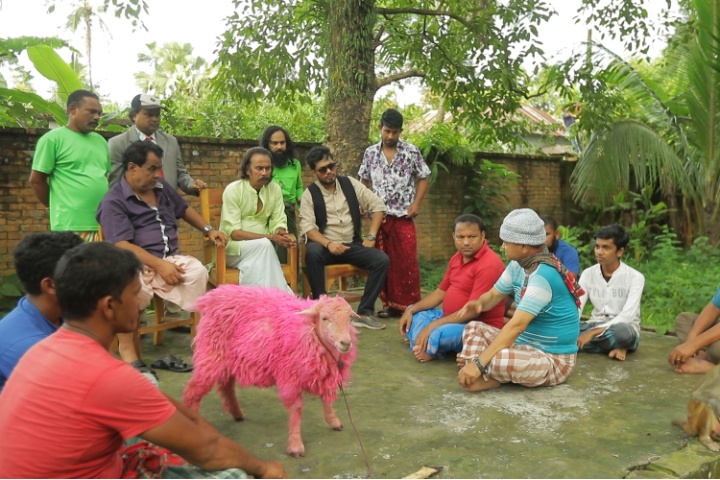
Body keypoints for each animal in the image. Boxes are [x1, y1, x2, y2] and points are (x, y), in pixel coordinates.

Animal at [183, 284, 358, 458]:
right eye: (324, 318)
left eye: (350, 318)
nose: (345, 343)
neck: (310, 332)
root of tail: (211, 297)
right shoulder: (290, 378)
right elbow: (296, 410)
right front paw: (295, 444)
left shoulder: (326, 373)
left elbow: (327, 399)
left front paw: (333, 421)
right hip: (211, 353)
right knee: (194, 390)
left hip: (229, 359)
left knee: (226, 386)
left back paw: (237, 413)